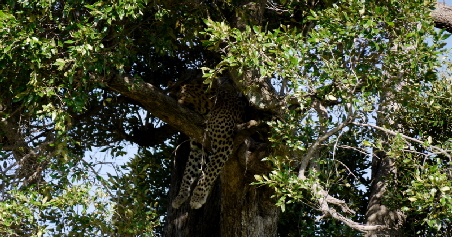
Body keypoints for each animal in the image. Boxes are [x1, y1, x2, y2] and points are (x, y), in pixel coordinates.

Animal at [171, 76, 245, 209]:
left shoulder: (223, 144)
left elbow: (209, 172)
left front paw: (197, 197)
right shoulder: (198, 147)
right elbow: (188, 172)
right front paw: (181, 196)